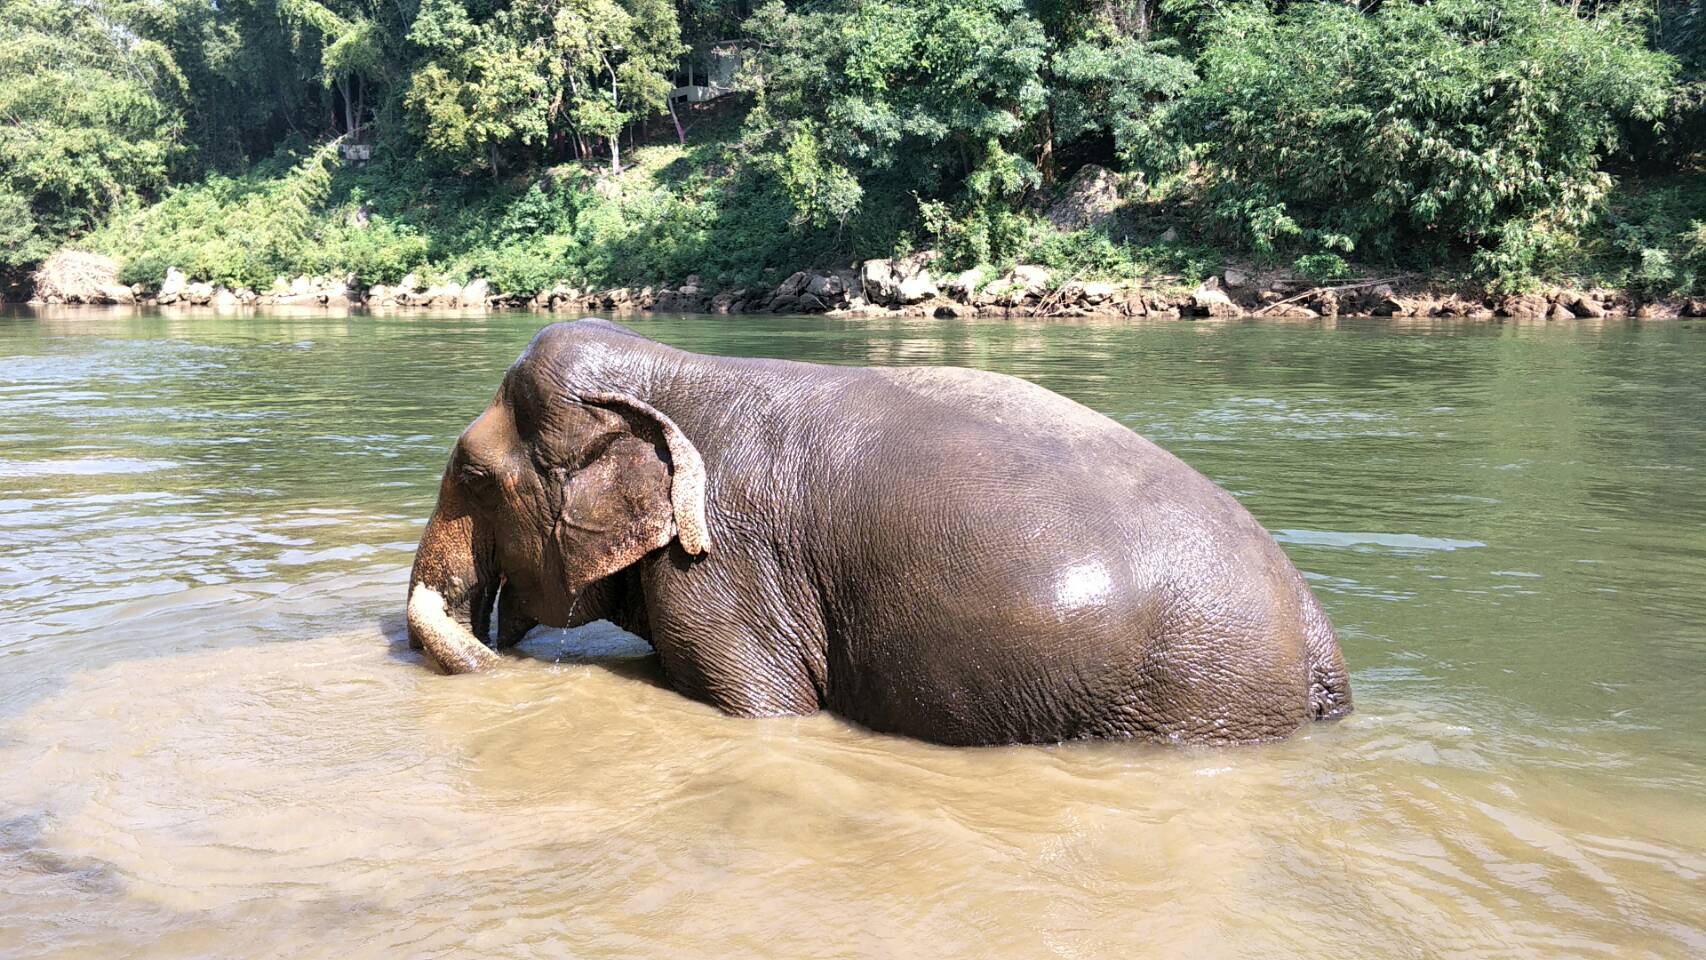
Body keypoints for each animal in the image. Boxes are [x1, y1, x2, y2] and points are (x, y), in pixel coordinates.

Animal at [406, 318, 1352, 746]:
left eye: (474, 476)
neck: (668, 367)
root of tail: (1320, 640)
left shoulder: (723, 577)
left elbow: (765, 709)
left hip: (1194, 700)